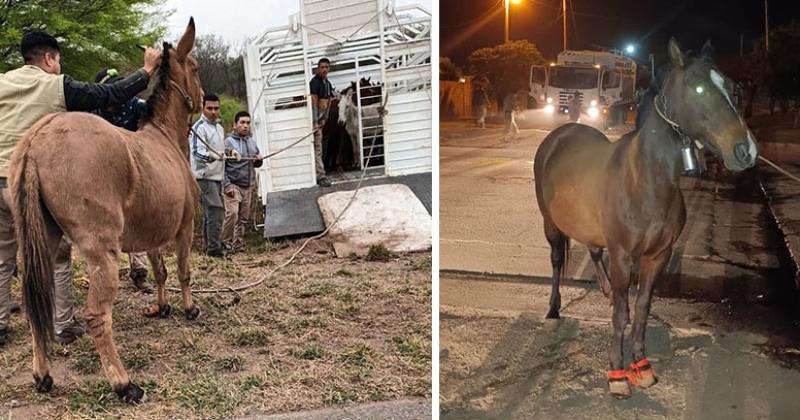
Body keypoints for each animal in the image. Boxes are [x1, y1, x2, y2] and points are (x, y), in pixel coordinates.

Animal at [9, 18, 203, 404]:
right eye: (195, 68)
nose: (204, 100)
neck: (163, 137)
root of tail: (38, 139)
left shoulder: (152, 236)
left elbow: (160, 272)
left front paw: (162, 307)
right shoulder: (184, 228)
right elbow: (184, 271)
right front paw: (189, 309)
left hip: (41, 246)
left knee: (35, 310)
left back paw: (42, 374)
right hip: (102, 254)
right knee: (98, 316)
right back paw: (123, 383)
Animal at [536, 41, 752, 398]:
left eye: (733, 87)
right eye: (697, 87)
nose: (745, 150)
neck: (645, 180)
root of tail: (560, 134)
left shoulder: (657, 256)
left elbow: (641, 309)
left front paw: (642, 365)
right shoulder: (623, 255)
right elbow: (622, 315)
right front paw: (617, 374)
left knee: (594, 252)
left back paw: (605, 290)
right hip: (550, 225)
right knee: (555, 261)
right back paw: (554, 309)